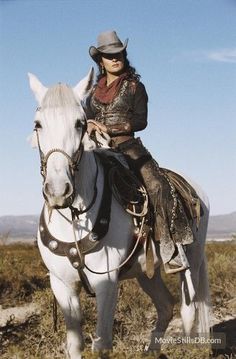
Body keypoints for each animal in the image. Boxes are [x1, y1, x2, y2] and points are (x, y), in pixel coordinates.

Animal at [28, 69, 211, 358]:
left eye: (80, 123)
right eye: (38, 125)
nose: (58, 190)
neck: (75, 220)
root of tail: (196, 190)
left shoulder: (107, 283)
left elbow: (102, 342)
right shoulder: (62, 285)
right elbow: (74, 343)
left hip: (190, 263)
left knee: (188, 311)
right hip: (146, 273)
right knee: (165, 306)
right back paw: (151, 351)